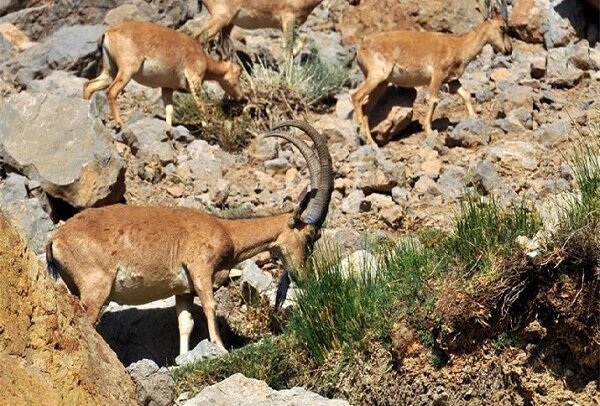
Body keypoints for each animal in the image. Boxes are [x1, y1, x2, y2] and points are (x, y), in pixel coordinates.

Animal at [47, 120, 336, 356]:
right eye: (311, 235)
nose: (303, 276)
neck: (227, 232)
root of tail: (56, 238)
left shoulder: (183, 290)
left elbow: (185, 322)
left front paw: (183, 359)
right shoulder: (200, 268)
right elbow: (210, 305)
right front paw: (220, 348)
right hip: (96, 289)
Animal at [82, 21, 244, 132]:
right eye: (238, 72)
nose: (241, 96)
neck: (202, 56)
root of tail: (109, 33)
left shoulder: (167, 88)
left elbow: (169, 110)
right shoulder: (194, 79)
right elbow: (201, 105)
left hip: (110, 71)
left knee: (89, 86)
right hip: (126, 71)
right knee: (111, 91)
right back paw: (119, 122)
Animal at [352, 0, 510, 146]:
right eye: (502, 27)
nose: (509, 49)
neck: (458, 45)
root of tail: (360, 49)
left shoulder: (452, 80)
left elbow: (465, 95)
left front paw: (474, 118)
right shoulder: (437, 75)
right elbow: (433, 100)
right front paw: (428, 130)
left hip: (382, 84)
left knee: (366, 108)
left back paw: (372, 142)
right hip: (377, 76)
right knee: (356, 96)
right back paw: (362, 134)